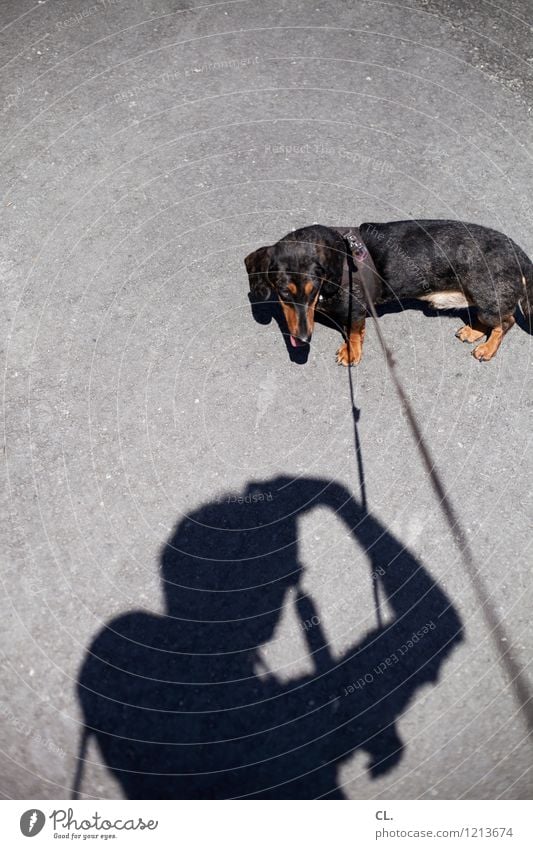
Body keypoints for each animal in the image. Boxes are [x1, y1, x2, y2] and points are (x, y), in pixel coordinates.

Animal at [244, 220, 532, 362]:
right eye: (284, 293)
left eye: (312, 290)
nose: (303, 339)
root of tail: (517, 251)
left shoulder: (356, 310)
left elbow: (354, 332)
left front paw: (351, 353)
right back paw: (473, 332)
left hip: (486, 298)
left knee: (505, 321)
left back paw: (488, 349)